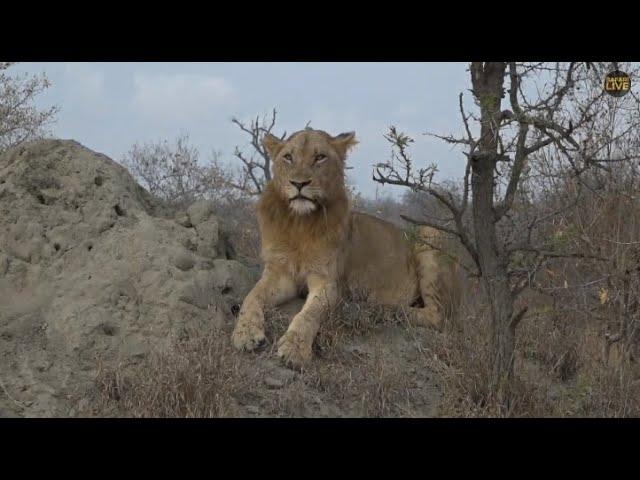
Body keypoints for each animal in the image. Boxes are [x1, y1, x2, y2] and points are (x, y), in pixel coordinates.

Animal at [232, 127, 458, 368]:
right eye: (288, 157)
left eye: (320, 157)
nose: (299, 184)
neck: (299, 224)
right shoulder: (279, 272)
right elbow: (251, 296)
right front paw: (245, 334)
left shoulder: (329, 282)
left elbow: (309, 314)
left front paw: (295, 349)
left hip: (429, 233)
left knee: (438, 316)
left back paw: (378, 308)